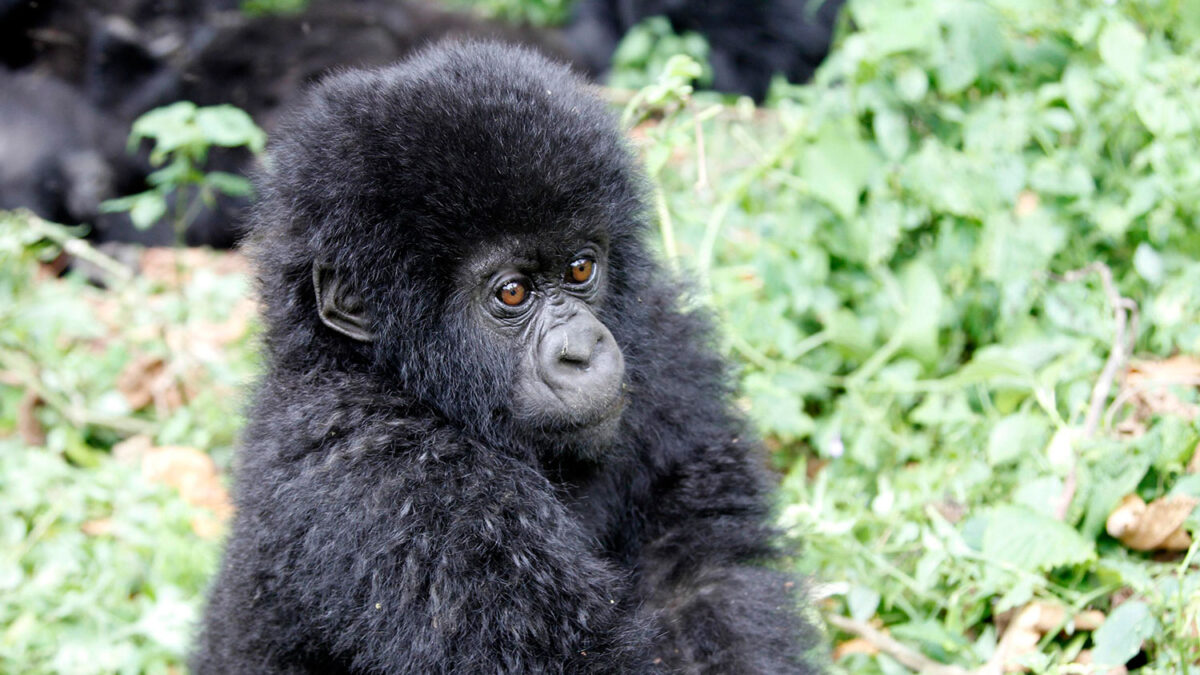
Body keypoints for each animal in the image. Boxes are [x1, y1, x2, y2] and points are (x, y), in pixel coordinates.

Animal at [192, 40, 820, 667]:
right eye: (512, 292)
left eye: (581, 268)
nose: (583, 350)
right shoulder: (395, 478)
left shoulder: (663, 338)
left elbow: (700, 574)